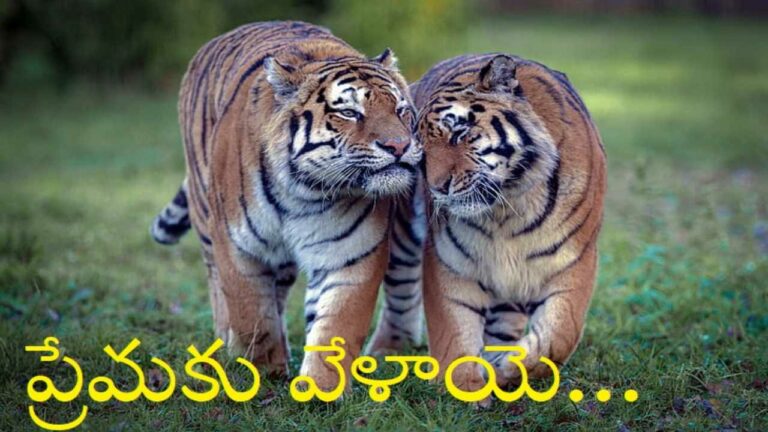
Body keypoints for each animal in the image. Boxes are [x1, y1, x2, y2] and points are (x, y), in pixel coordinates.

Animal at [149, 21, 425, 389]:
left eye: (401, 110)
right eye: (349, 113)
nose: (399, 146)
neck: (304, 193)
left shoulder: (351, 252)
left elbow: (335, 327)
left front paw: (319, 390)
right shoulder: (238, 246)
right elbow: (252, 315)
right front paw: (262, 372)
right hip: (205, 217)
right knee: (219, 288)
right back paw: (226, 343)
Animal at [411, 53, 606, 395]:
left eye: (458, 133)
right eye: (421, 152)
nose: (437, 188)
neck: (506, 208)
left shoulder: (575, 260)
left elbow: (559, 335)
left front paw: (510, 369)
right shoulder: (449, 260)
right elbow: (452, 328)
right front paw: (464, 388)